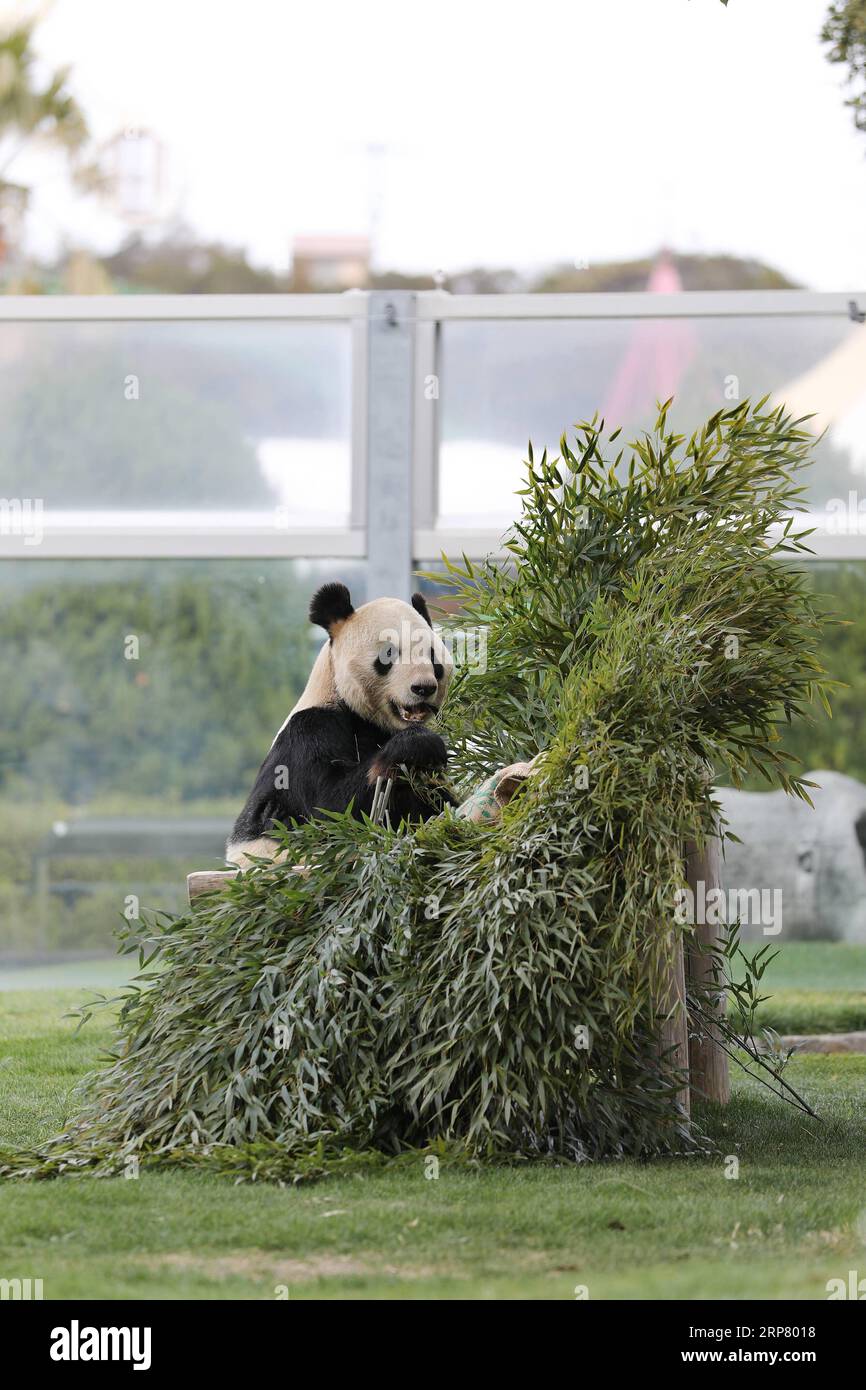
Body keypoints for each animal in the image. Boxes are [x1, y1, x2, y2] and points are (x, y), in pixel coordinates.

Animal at [226, 582, 456, 868]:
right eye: (389, 653)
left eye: (433, 657)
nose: (423, 687)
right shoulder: (309, 733)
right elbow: (334, 809)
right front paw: (419, 744)